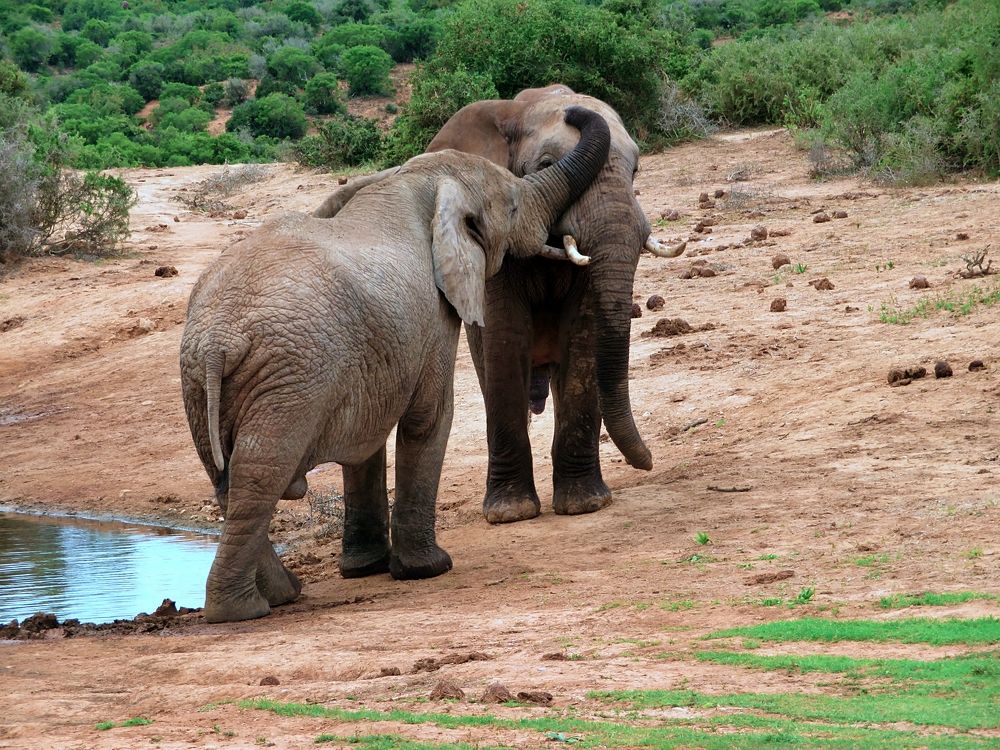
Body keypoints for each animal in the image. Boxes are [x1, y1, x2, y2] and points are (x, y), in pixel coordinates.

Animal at [180, 106, 611, 623]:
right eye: (510, 208)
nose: (573, 110)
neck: (413, 178)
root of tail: (218, 339)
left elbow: (367, 442)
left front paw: (368, 569)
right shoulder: (433, 314)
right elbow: (430, 418)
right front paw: (429, 569)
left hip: (199, 383)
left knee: (225, 479)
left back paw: (282, 594)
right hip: (289, 378)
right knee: (259, 473)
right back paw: (243, 611)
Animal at [315, 84, 683, 526]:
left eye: (636, 171)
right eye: (545, 164)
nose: (647, 462)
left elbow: (582, 342)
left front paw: (585, 505)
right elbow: (505, 338)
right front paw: (512, 513)